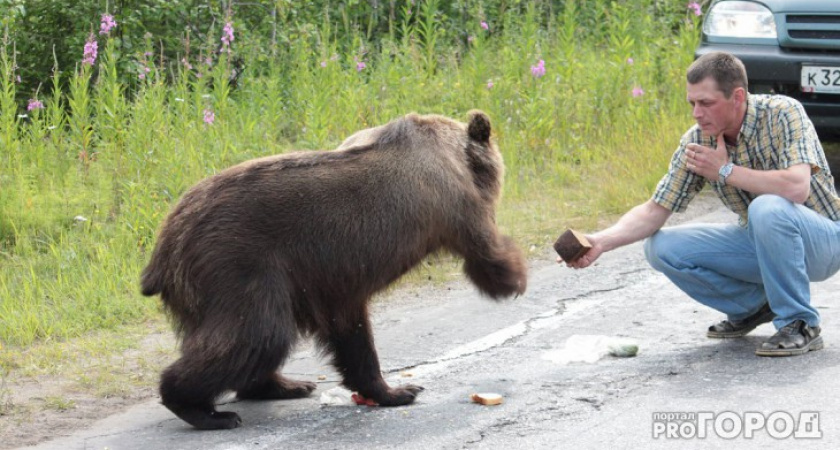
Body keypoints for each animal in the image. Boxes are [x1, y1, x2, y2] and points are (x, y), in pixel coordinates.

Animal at [141, 109, 528, 428]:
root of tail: (165, 246)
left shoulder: (333, 283)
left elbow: (351, 335)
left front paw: (393, 389)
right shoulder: (454, 202)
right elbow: (484, 251)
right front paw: (515, 277)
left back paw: (288, 384)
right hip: (238, 264)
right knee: (258, 333)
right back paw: (206, 410)